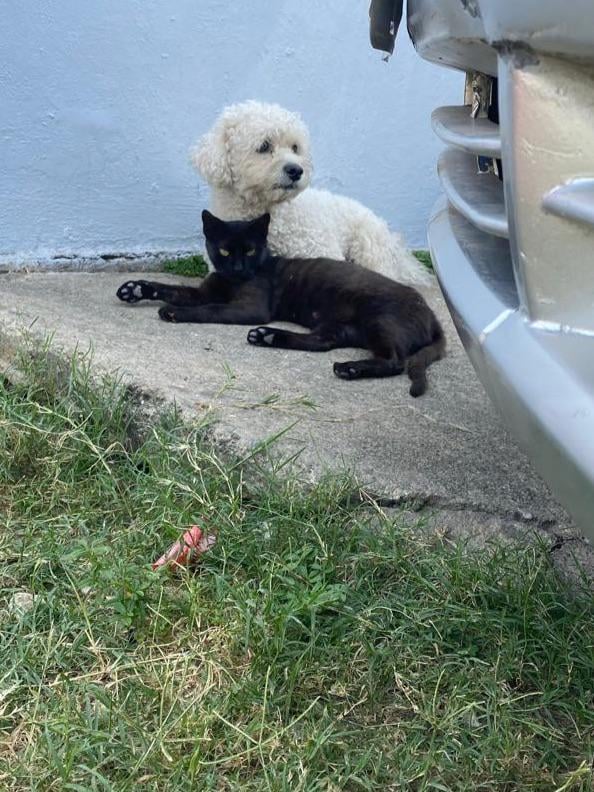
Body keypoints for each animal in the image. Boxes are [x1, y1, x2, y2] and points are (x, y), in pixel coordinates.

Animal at [116, 210, 445, 396]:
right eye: (225, 251)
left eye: (249, 250)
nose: (238, 267)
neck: (231, 281)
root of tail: (432, 315)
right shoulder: (204, 291)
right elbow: (171, 288)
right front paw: (136, 288)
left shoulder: (249, 308)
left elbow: (209, 310)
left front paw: (174, 312)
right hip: (339, 326)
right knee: (321, 343)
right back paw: (269, 337)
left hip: (380, 320)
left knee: (395, 361)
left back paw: (350, 367)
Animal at [191, 101, 430, 285]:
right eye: (264, 146)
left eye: (295, 147)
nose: (296, 170)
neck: (268, 213)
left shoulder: (321, 252)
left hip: (370, 248)